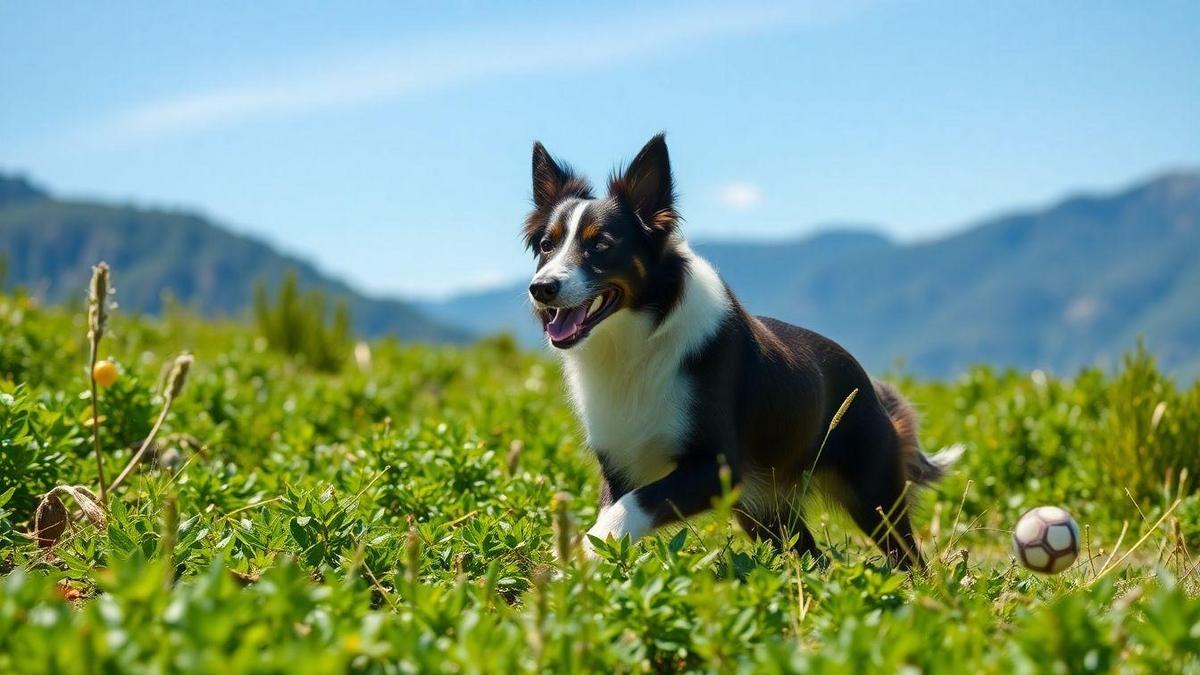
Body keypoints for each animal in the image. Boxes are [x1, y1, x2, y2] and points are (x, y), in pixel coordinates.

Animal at [520, 133, 960, 564]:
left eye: (601, 245)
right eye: (546, 245)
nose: (541, 288)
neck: (636, 338)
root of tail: (871, 386)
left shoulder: (718, 469)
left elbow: (631, 506)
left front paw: (583, 554)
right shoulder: (619, 463)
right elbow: (617, 504)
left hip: (873, 494)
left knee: (908, 556)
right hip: (765, 510)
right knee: (810, 556)